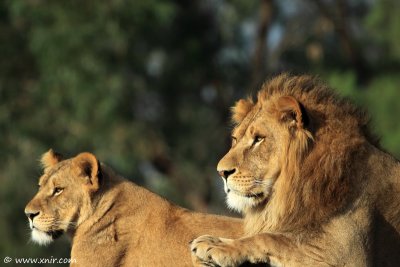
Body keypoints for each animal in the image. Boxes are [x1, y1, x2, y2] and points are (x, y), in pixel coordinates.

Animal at [191, 74, 400, 267]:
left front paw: (216, 245)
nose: (221, 172)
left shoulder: (348, 253)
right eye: (235, 139)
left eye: (258, 138)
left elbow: (273, 238)